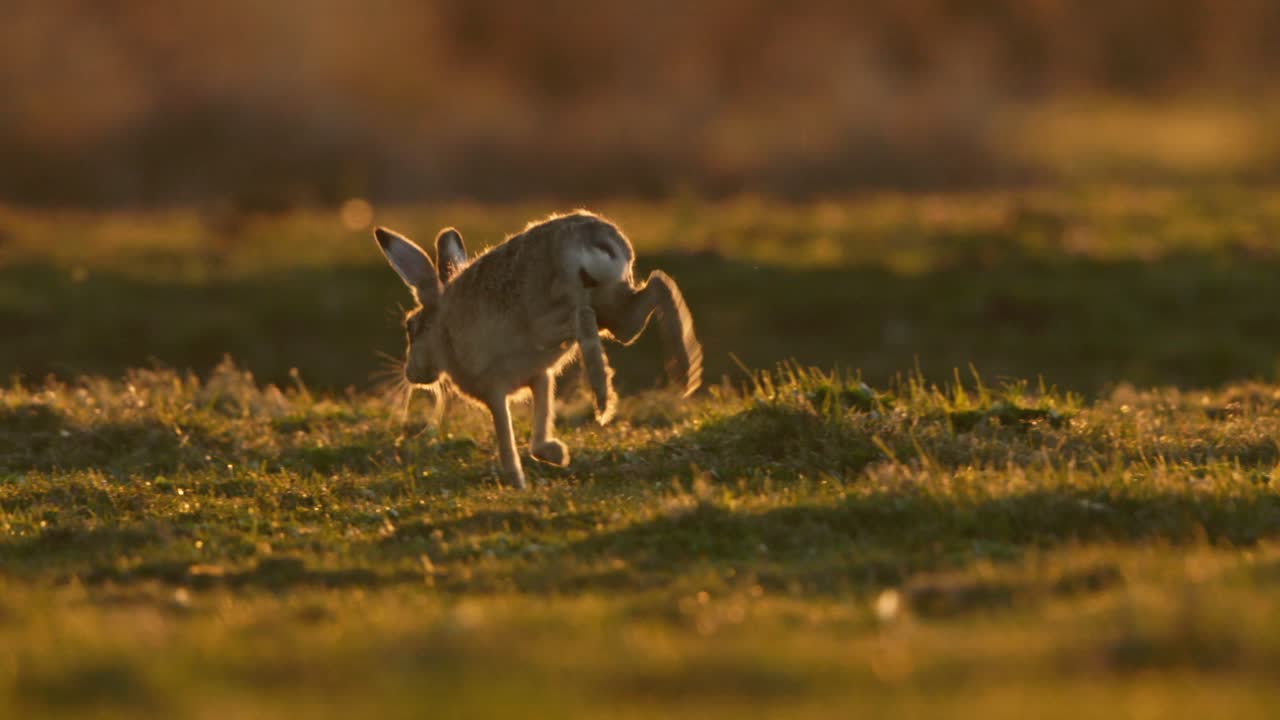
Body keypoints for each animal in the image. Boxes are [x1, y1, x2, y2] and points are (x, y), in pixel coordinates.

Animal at [374, 210, 702, 489]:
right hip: (613, 307)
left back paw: (603, 398)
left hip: (548, 315)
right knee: (656, 286)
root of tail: (591, 240)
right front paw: (558, 455)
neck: (442, 331)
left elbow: (506, 440)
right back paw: (685, 370)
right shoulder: (540, 377)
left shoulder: (493, 391)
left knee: (584, 318)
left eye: (410, 326)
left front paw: (517, 483)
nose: (411, 374)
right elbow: (539, 431)